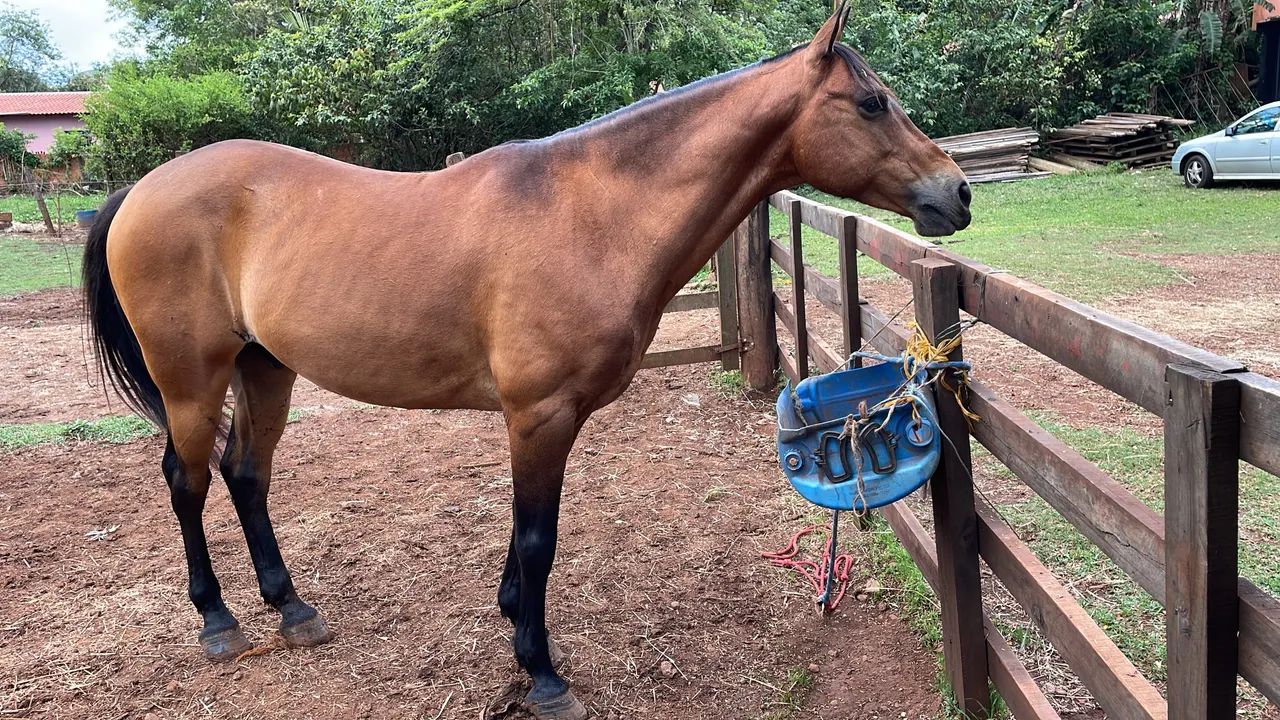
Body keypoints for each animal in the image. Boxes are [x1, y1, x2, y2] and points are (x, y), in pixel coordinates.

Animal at [83, 7, 969, 719]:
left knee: (246, 475)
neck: (589, 213)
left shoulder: (541, 419)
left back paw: (292, 609)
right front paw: (541, 674)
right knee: (187, 482)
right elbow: (539, 536)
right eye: (871, 102)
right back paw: (218, 622)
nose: (957, 193)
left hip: (265, 368)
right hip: (192, 381)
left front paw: (514, 619)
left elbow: (523, 539)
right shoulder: (539, 415)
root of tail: (140, 190)